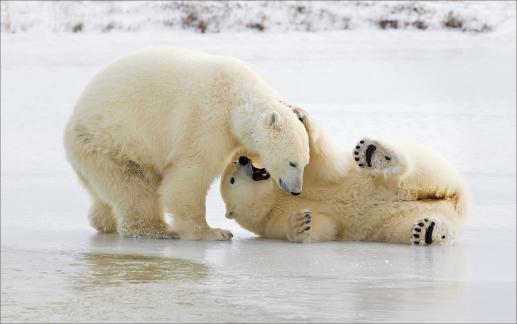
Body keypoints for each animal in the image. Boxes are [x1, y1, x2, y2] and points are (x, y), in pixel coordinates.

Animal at [63, 47, 308, 240]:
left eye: (304, 163)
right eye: (292, 162)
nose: (296, 191)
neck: (235, 95)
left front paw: (301, 113)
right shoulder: (206, 121)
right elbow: (191, 175)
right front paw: (214, 232)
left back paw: (104, 222)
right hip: (113, 143)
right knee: (135, 186)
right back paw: (159, 229)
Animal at [220, 109, 470, 246]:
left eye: (234, 165)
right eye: (232, 180)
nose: (243, 159)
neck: (274, 199)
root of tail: (456, 200)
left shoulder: (310, 181)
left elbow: (321, 165)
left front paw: (299, 117)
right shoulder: (271, 222)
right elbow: (321, 227)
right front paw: (300, 222)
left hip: (429, 170)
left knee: (412, 170)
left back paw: (374, 154)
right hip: (399, 219)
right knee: (413, 225)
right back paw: (427, 231)